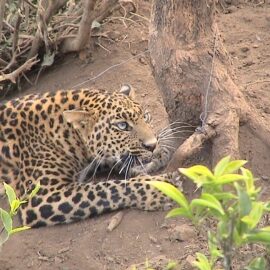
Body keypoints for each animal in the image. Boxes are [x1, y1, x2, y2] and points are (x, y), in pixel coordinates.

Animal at [1, 85, 180, 228]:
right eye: (122, 126)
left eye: (145, 117)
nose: (152, 145)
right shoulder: (40, 197)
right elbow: (107, 188)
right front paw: (162, 187)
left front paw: (159, 155)